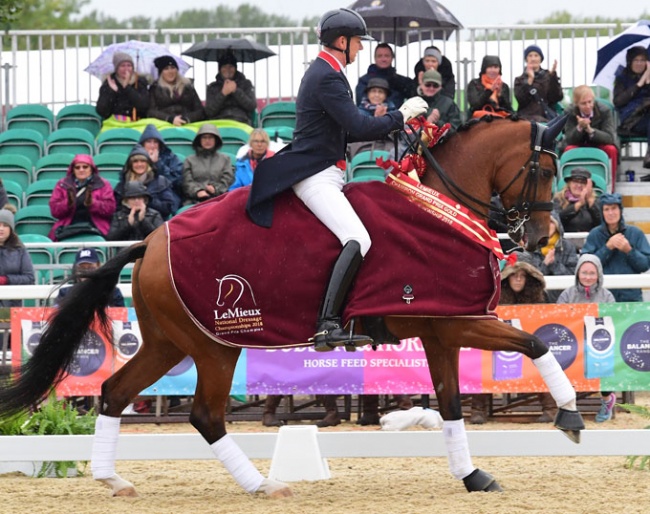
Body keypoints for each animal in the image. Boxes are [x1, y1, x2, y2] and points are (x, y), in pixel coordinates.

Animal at [0, 115, 584, 496]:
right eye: (543, 170)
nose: (541, 236)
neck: (439, 208)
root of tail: (150, 240)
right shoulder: (460, 321)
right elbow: (534, 343)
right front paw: (570, 417)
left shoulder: (442, 329)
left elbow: (452, 405)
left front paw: (472, 475)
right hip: (215, 346)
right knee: (205, 414)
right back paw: (263, 484)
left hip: (172, 341)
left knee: (115, 391)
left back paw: (112, 478)